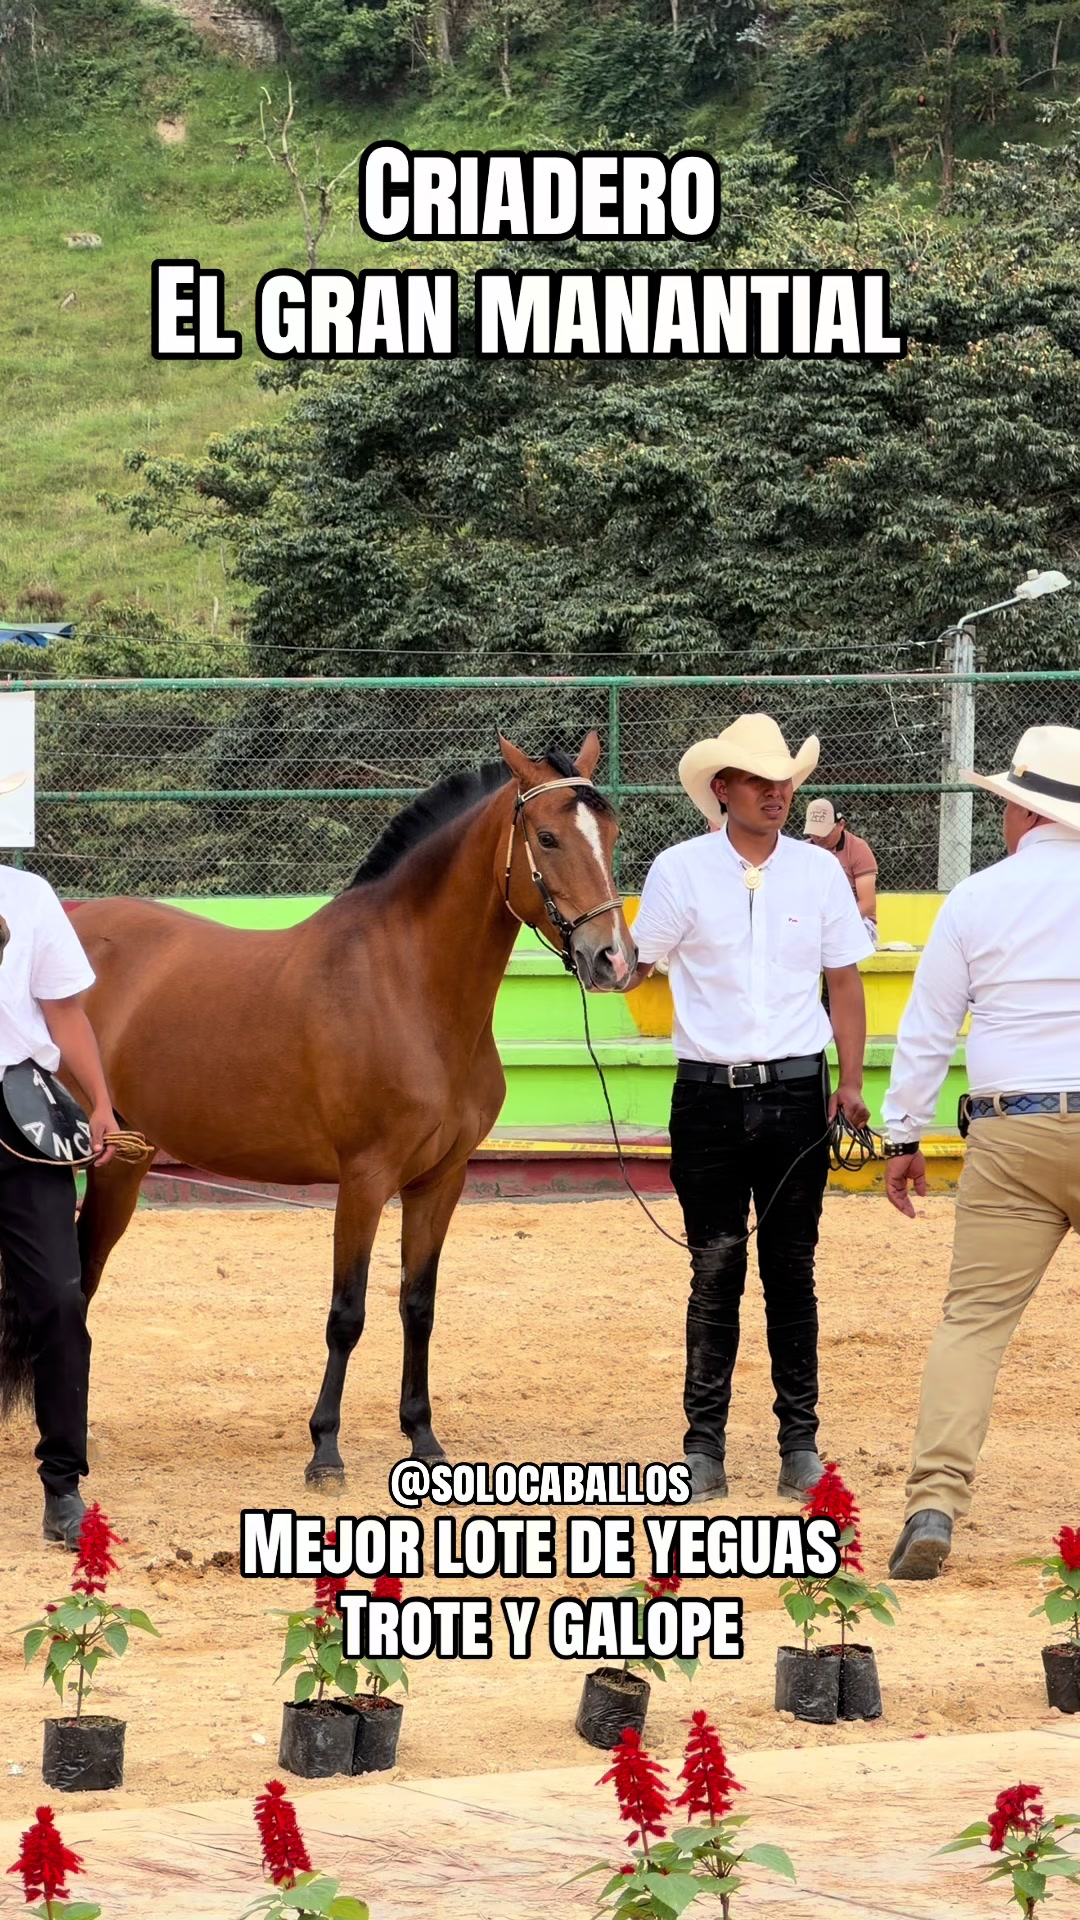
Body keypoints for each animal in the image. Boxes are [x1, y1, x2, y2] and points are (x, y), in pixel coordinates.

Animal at [1, 733, 636, 1485]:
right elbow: (348, 1313)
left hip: (122, 1163)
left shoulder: (440, 1182)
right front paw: (325, 1450)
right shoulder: (364, 1180)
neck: (409, 987)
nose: (612, 960)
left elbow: (417, 1305)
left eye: (612, 833)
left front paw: (422, 1437)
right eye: (547, 837)